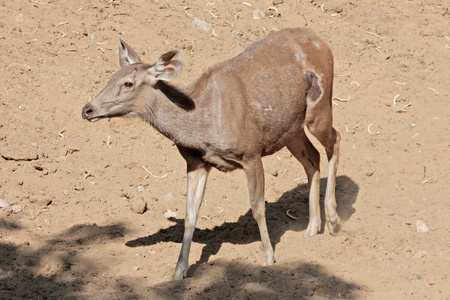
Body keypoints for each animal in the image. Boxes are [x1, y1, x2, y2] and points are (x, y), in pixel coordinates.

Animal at [81, 27, 342, 280]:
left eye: (128, 84)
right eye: (110, 78)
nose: (87, 109)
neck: (202, 126)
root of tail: (322, 42)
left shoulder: (251, 152)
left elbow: (257, 207)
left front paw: (268, 258)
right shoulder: (196, 162)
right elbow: (190, 213)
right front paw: (179, 271)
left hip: (320, 107)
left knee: (335, 141)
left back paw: (333, 219)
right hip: (292, 129)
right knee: (312, 159)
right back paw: (312, 228)